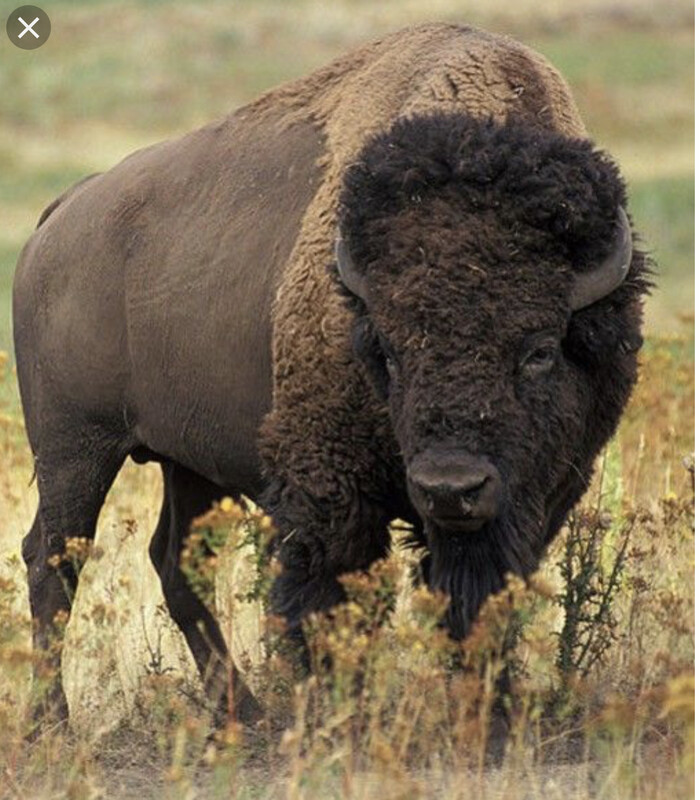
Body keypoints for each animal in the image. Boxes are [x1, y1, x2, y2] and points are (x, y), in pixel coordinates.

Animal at [13, 23, 648, 725]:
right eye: (389, 351)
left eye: (539, 349)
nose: (450, 487)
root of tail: (63, 213)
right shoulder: (330, 489)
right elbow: (331, 600)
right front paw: (339, 711)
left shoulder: (537, 494)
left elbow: (480, 599)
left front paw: (488, 712)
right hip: (76, 448)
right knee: (54, 558)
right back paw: (54, 721)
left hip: (186, 460)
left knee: (174, 561)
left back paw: (243, 714)